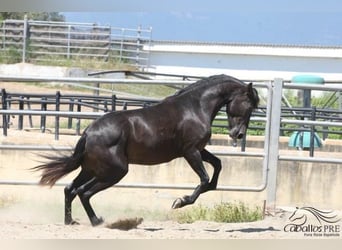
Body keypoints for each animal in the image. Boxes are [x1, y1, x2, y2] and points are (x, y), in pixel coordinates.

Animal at [34, 74, 260, 227]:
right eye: (248, 105)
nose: (238, 135)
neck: (195, 108)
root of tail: (89, 133)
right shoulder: (190, 152)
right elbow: (204, 180)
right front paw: (180, 202)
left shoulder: (199, 150)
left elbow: (217, 167)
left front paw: (197, 193)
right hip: (115, 171)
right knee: (83, 192)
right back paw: (97, 221)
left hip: (92, 169)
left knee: (70, 189)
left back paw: (70, 221)